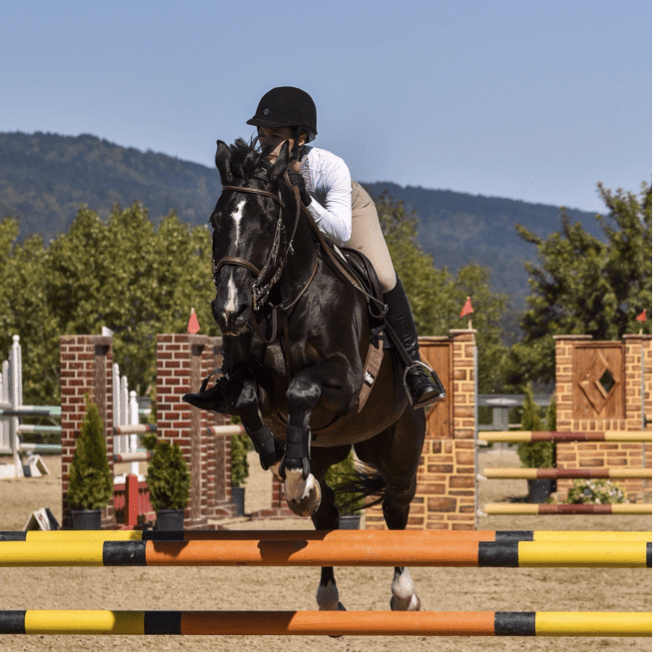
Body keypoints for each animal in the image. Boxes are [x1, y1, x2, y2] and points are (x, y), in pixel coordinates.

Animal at [184, 138, 426, 611]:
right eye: (215, 222)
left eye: (267, 224)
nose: (229, 311)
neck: (285, 297)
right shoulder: (248, 378)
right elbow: (247, 398)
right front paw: (280, 462)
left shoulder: (346, 381)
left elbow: (300, 388)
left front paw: (292, 471)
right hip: (335, 448)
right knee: (327, 511)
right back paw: (326, 581)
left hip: (398, 447)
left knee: (396, 503)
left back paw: (403, 593)